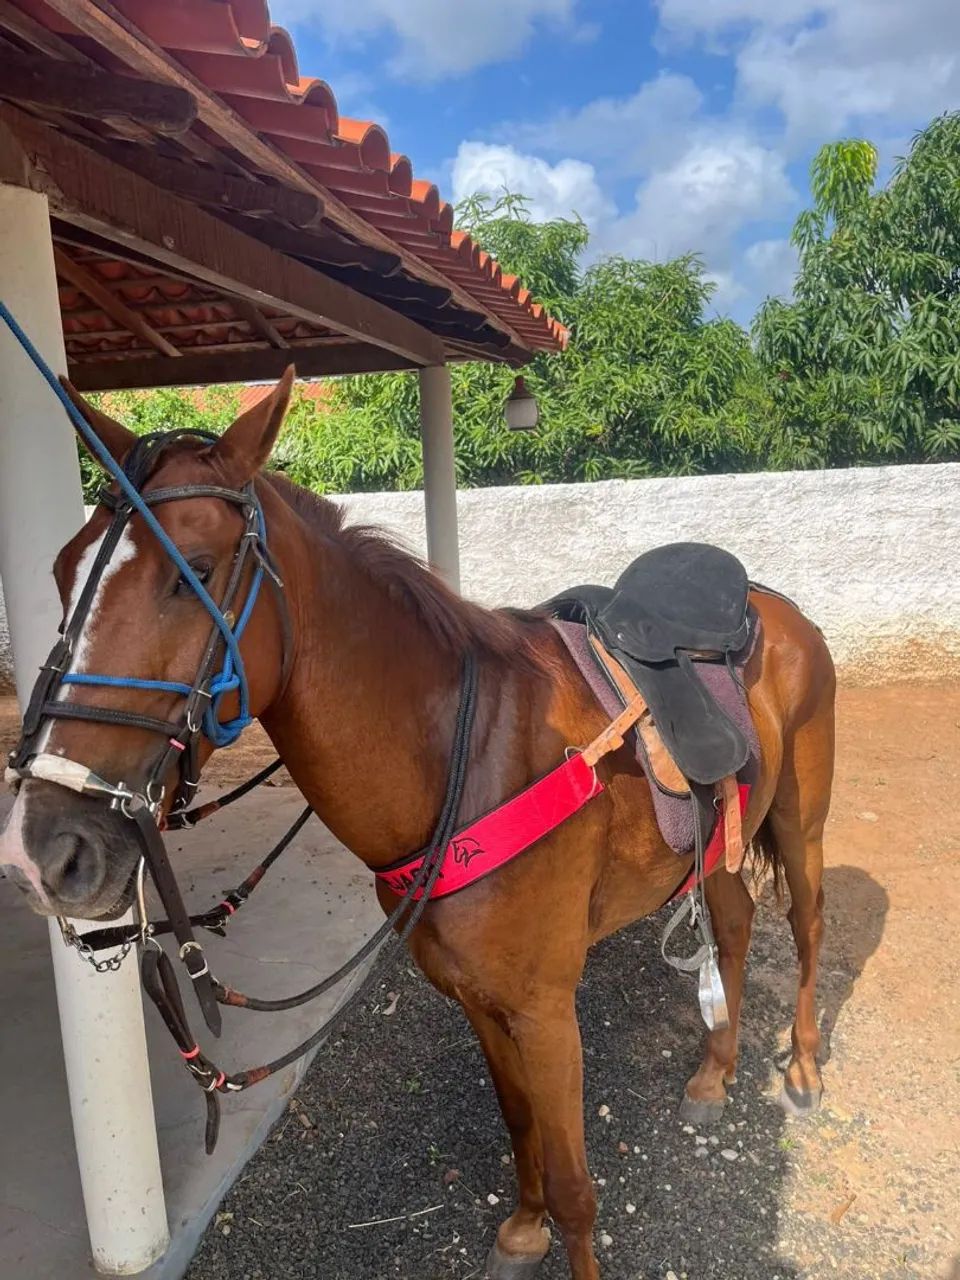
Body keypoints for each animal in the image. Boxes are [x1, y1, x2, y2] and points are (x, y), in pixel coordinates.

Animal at [0, 370, 835, 1280]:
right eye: (60, 574)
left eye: (194, 573)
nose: (44, 851)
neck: (467, 763)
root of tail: (771, 605)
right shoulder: (475, 998)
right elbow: (518, 1123)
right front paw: (524, 1228)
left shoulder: (546, 1009)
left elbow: (578, 1187)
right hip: (718, 850)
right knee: (734, 922)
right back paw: (716, 1076)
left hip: (800, 824)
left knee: (806, 924)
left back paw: (802, 1067)